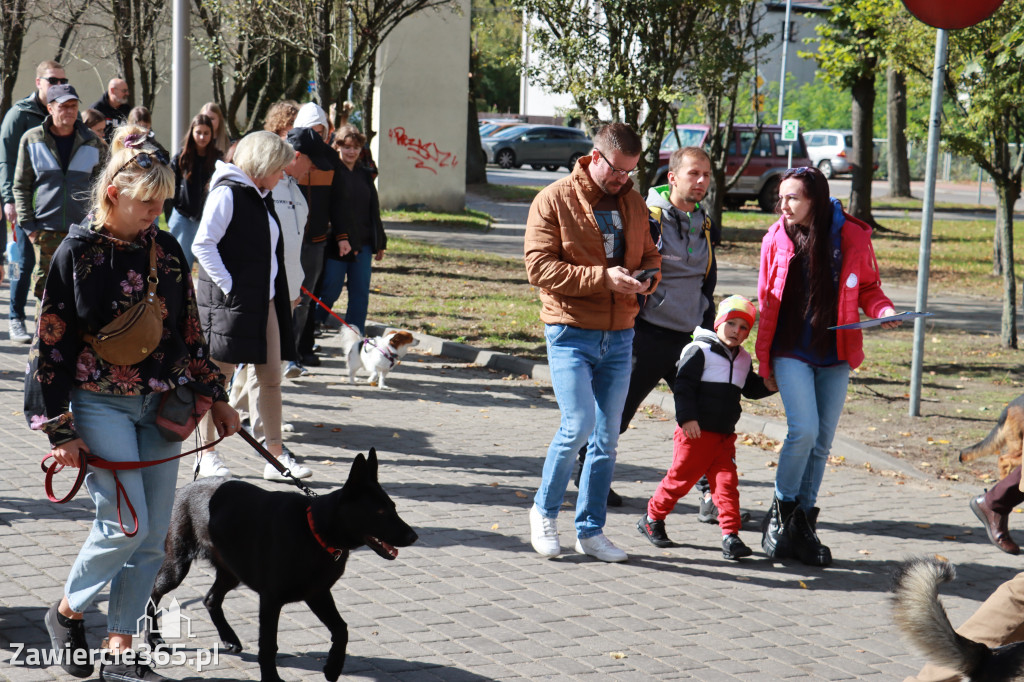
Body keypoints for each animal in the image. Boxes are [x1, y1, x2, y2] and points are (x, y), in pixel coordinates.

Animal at [147, 446, 415, 679]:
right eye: (380, 512)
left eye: (393, 507)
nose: (414, 536)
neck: (314, 532)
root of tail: (183, 488)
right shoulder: (271, 601)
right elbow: (268, 646)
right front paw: (272, 678)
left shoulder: (317, 593)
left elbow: (341, 630)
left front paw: (333, 668)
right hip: (176, 568)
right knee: (151, 596)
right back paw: (154, 639)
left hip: (232, 572)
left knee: (211, 599)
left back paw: (229, 638)